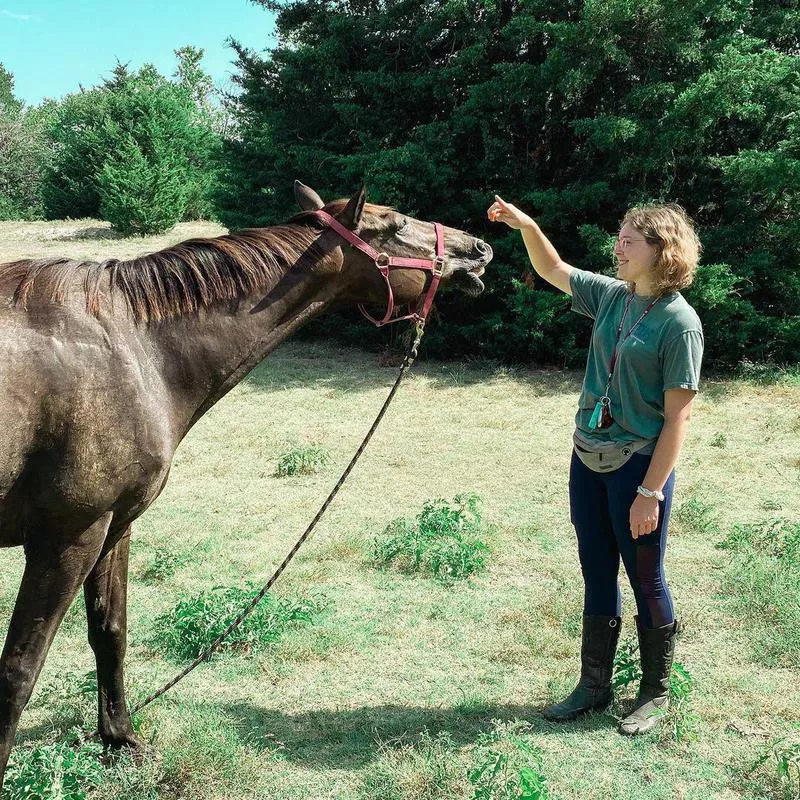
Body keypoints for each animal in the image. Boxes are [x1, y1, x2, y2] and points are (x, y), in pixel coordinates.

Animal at [0, 183, 494, 788]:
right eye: (397, 223)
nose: (478, 249)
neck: (136, 350)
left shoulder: (113, 527)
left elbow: (109, 632)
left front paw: (120, 740)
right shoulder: (68, 536)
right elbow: (19, 669)